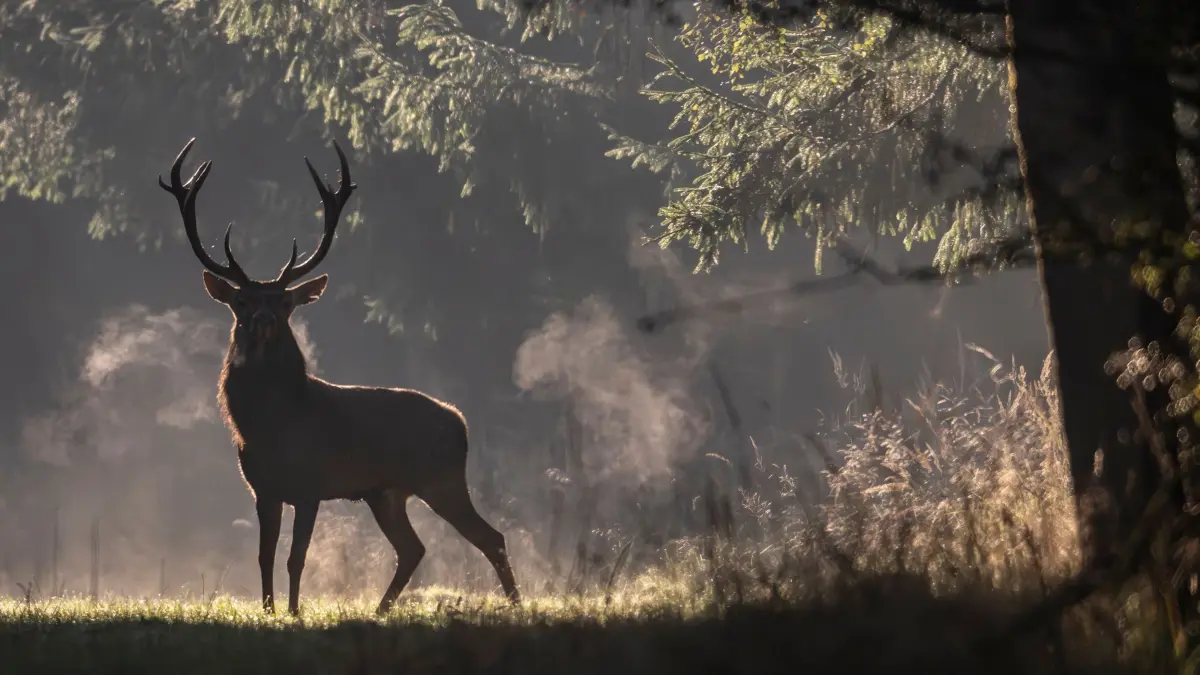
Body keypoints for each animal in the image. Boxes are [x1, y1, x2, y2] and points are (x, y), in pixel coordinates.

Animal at [159, 138, 521, 616]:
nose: (262, 319)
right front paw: (269, 610)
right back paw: (381, 609)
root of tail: (460, 422)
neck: (270, 428)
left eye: (285, 302)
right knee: (414, 548)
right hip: (385, 492)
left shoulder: (311, 485)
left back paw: (516, 605)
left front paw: (294, 611)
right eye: (241, 301)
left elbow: (296, 557)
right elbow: (264, 555)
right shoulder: (262, 489)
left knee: (490, 537)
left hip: (441, 478)